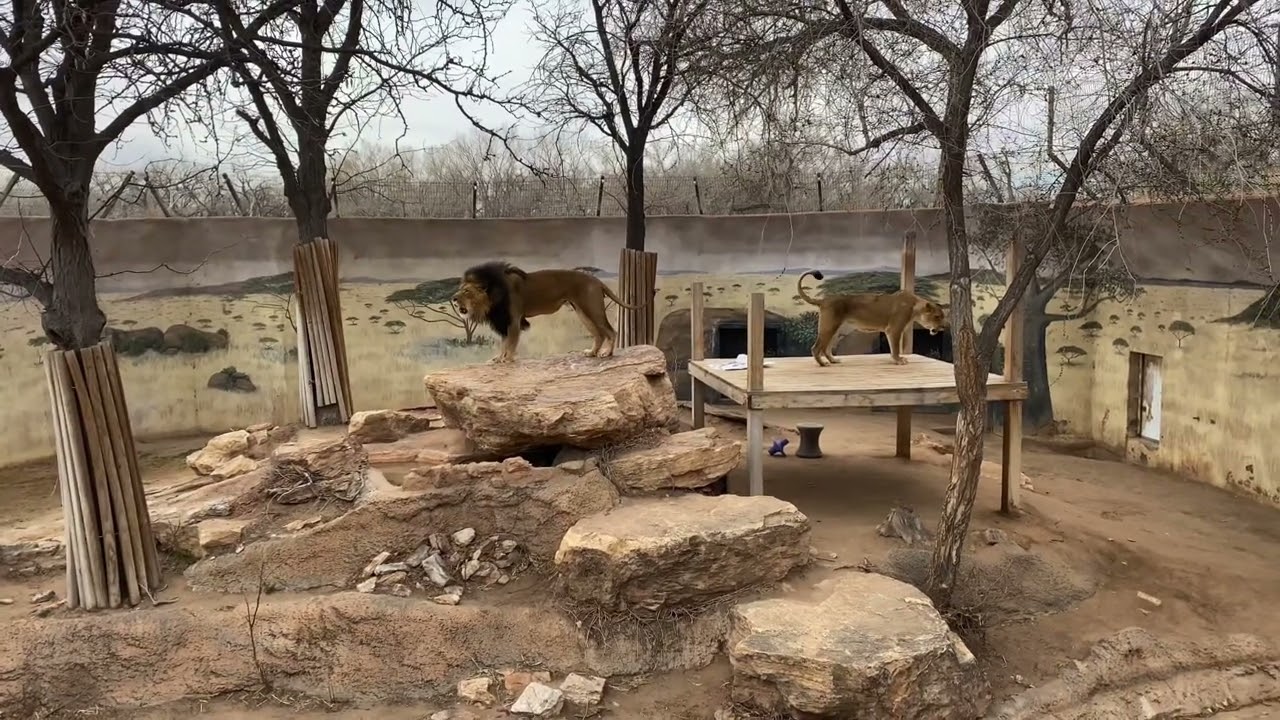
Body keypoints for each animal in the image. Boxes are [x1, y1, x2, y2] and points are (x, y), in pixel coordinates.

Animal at [451, 261, 651, 363]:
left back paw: (607, 354)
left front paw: (506, 359)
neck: (492, 295)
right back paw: (592, 353)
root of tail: (597, 280)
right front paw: (499, 357)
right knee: (598, 334)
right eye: (460, 289)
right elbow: (504, 343)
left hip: (592, 309)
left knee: (610, 331)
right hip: (582, 311)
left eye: (466, 291)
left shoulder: (513, 320)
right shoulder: (504, 321)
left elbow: (510, 343)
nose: (453, 298)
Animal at [796, 270, 949, 367]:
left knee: (826, 348)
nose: (943, 327)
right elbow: (895, 348)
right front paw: (899, 361)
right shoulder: (894, 329)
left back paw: (833, 360)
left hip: (838, 330)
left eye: (942, 316)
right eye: (937, 316)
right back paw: (823, 364)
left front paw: (896, 360)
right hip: (829, 327)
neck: (914, 307)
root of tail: (823, 300)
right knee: (816, 348)